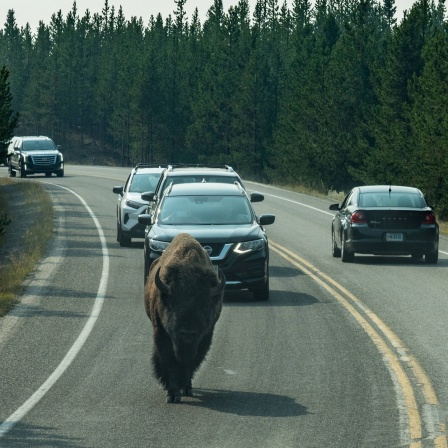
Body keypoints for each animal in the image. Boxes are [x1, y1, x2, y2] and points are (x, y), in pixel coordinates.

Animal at [144, 233, 226, 404]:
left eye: (205, 304)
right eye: (172, 302)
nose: (187, 333)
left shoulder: (203, 338)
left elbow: (190, 363)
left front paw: (186, 388)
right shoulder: (163, 336)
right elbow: (170, 362)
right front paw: (172, 394)